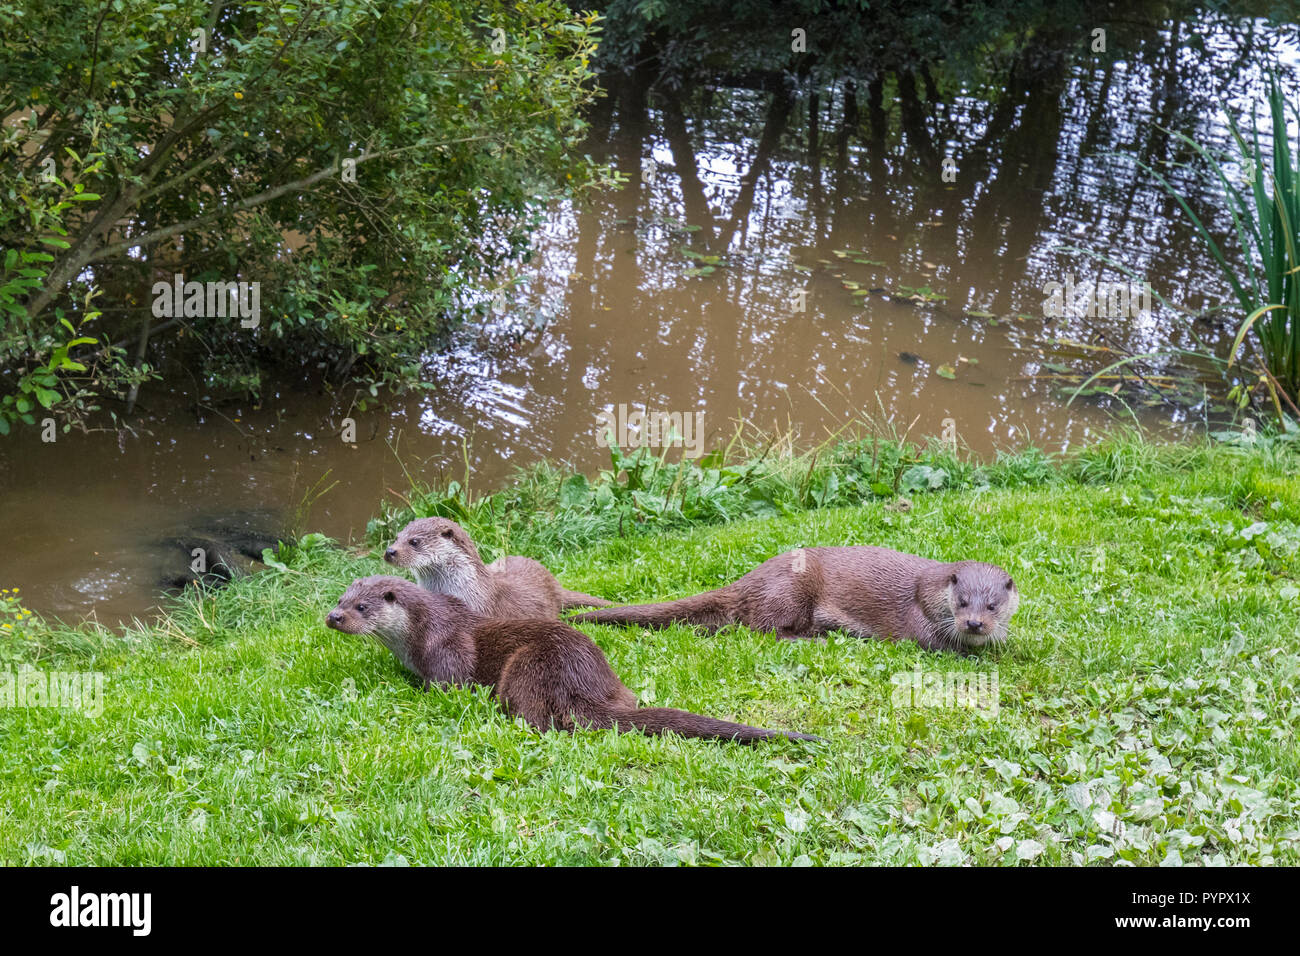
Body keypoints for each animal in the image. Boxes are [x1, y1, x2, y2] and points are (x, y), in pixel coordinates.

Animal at [325, 572, 811, 743]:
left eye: (361, 607)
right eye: (340, 598)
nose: (333, 617)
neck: (420, 631)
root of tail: (582, 686)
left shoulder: (447, 654)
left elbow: (448, 685)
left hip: (526, 667)